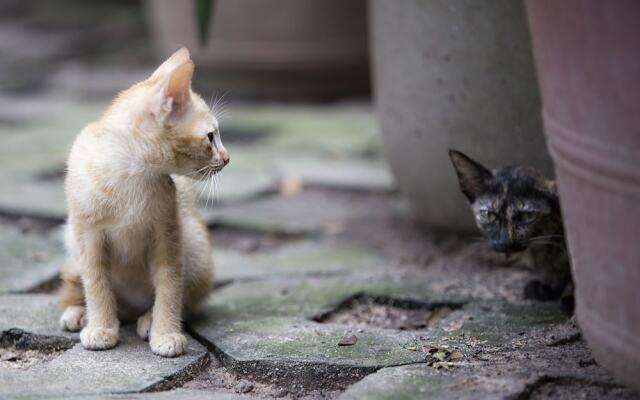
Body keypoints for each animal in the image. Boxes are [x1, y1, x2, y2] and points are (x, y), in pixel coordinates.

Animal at [57, 48, 228, 358]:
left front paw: (165, 332)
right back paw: (81, 312)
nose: (227, 158)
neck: (131, 172)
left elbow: (170, 286)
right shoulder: (87, 235)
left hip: (195, 244)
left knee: (185, 300)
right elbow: (96, 284)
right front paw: (101, 326)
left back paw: (149, 318)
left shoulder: (168, 233)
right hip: (70, 238)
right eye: (211, 137)